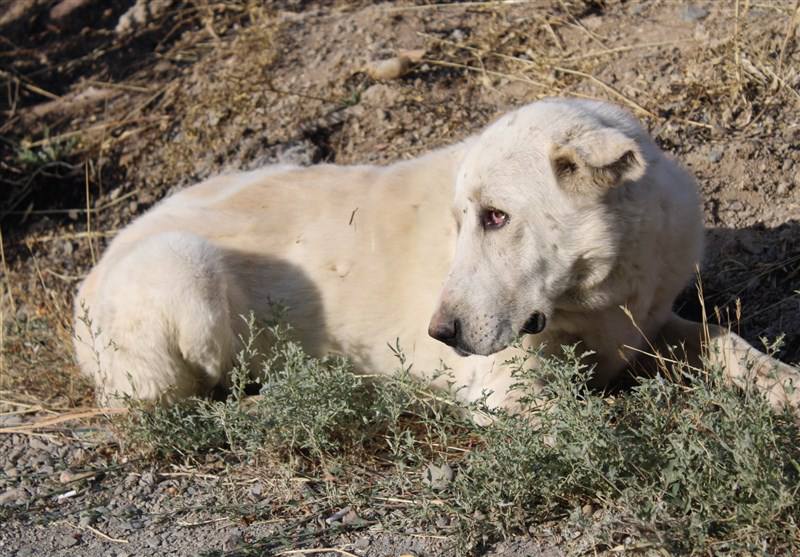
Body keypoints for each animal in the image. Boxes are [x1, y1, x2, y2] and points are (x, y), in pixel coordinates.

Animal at [72, 96, 796, 408]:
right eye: (462, 222)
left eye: (497, 217)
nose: (439, 333)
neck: (600, 292)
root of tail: (88, 274)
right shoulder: (505, 387)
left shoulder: (648, 322)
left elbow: (730, 343)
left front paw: (783, 386)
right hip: (184, 273)